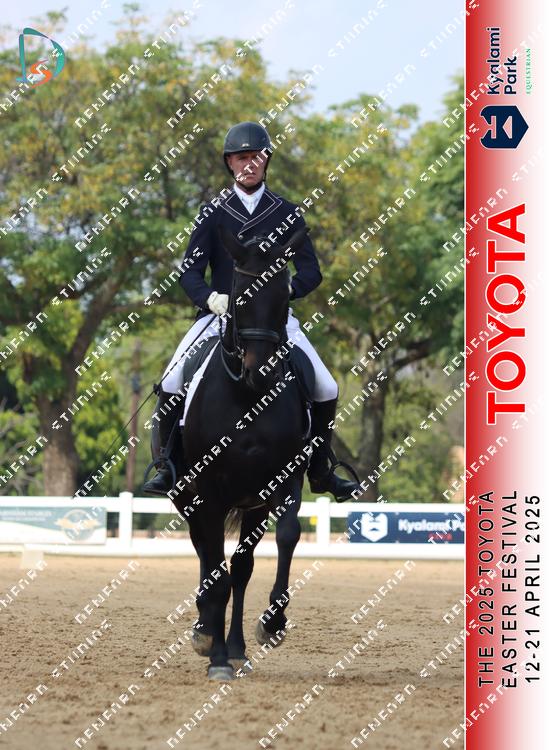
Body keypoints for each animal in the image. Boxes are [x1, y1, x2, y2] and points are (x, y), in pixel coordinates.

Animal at [170, 226, 312, 681]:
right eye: (239, 296)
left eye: (284, 298)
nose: (261, 371)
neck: (247, 398)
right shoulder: (208, 491)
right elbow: (214, 569)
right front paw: (214, 656)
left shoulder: (284, 479)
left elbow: (285, 538)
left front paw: (272, 624)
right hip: (187, 496)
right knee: (206, 554)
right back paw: (206, 633)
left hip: (251, 504)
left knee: (239, 568)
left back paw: (233, 646)